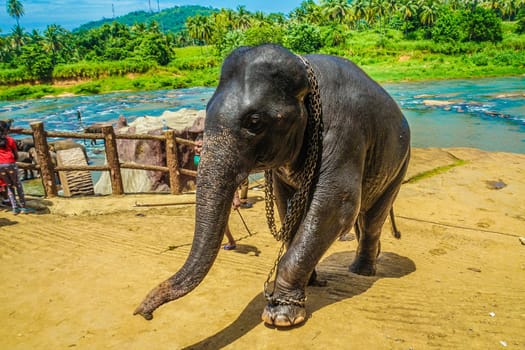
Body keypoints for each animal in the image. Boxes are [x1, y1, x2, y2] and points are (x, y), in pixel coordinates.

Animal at [134, 44, 410, 328]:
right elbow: (286, 204)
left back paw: (362, 271)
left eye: (254, 122)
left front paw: (280, 315)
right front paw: (310, 282)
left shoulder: (344, 132)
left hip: (400, 164)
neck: (305, 69)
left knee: (372, 217)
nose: (144, 312)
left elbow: (337, 204)